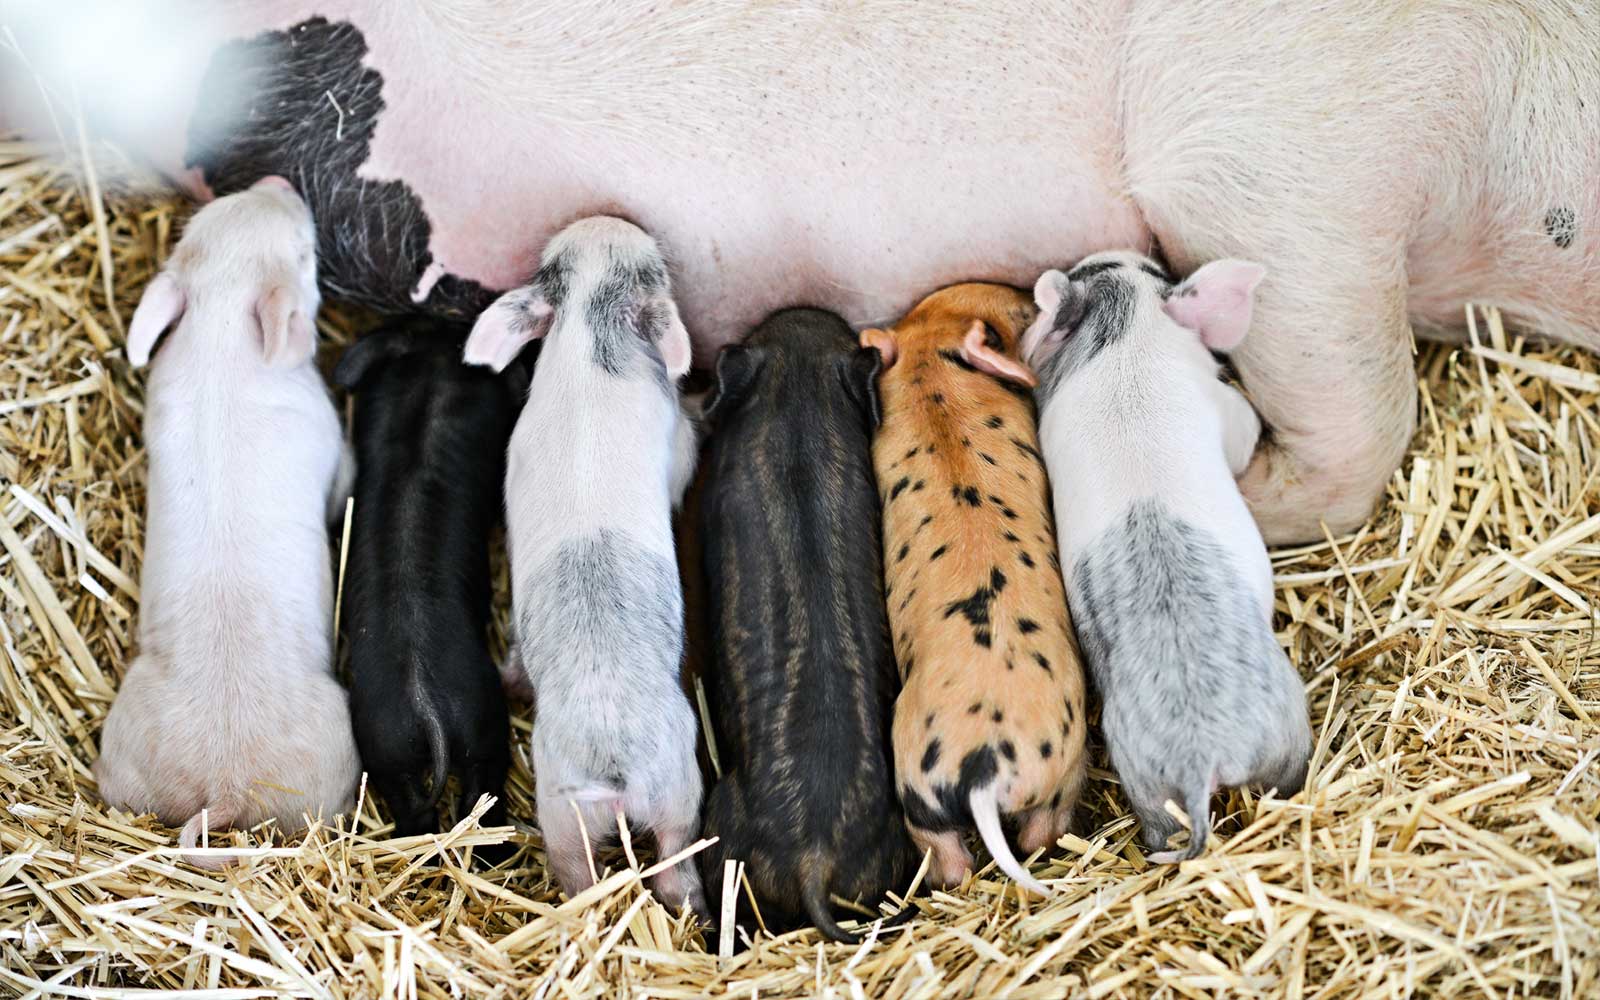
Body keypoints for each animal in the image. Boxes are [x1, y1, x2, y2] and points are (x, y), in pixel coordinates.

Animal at [94, 178, 359, 869]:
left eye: (203, 220)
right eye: (304, 255)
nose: (278, 182)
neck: (218, 332)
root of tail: (225, 787)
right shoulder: (328, 435)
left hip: (125, 751)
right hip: (334, 751)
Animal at [462, 216, 704, 912]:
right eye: (653, 269)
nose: (608, 218)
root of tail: (612, 770)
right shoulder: (675, 444)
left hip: (581, 808)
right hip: (670, 788)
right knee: (671, 866)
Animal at [859, 283, 1088, 895]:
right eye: (1010, 318)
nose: (1020, 291)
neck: (933, 382)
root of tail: (984, 765)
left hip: (913, 778)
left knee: (949, 861)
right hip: (1061, 768)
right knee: (1038, 834)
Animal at [1021, 251, 1313, 862]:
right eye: (1159, 274)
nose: (1123, 254)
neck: (1126, 340)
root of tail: (1201, 754)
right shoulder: (1224, 407)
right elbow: (1244, 431)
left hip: (1154, 771)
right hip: (1281, 736)